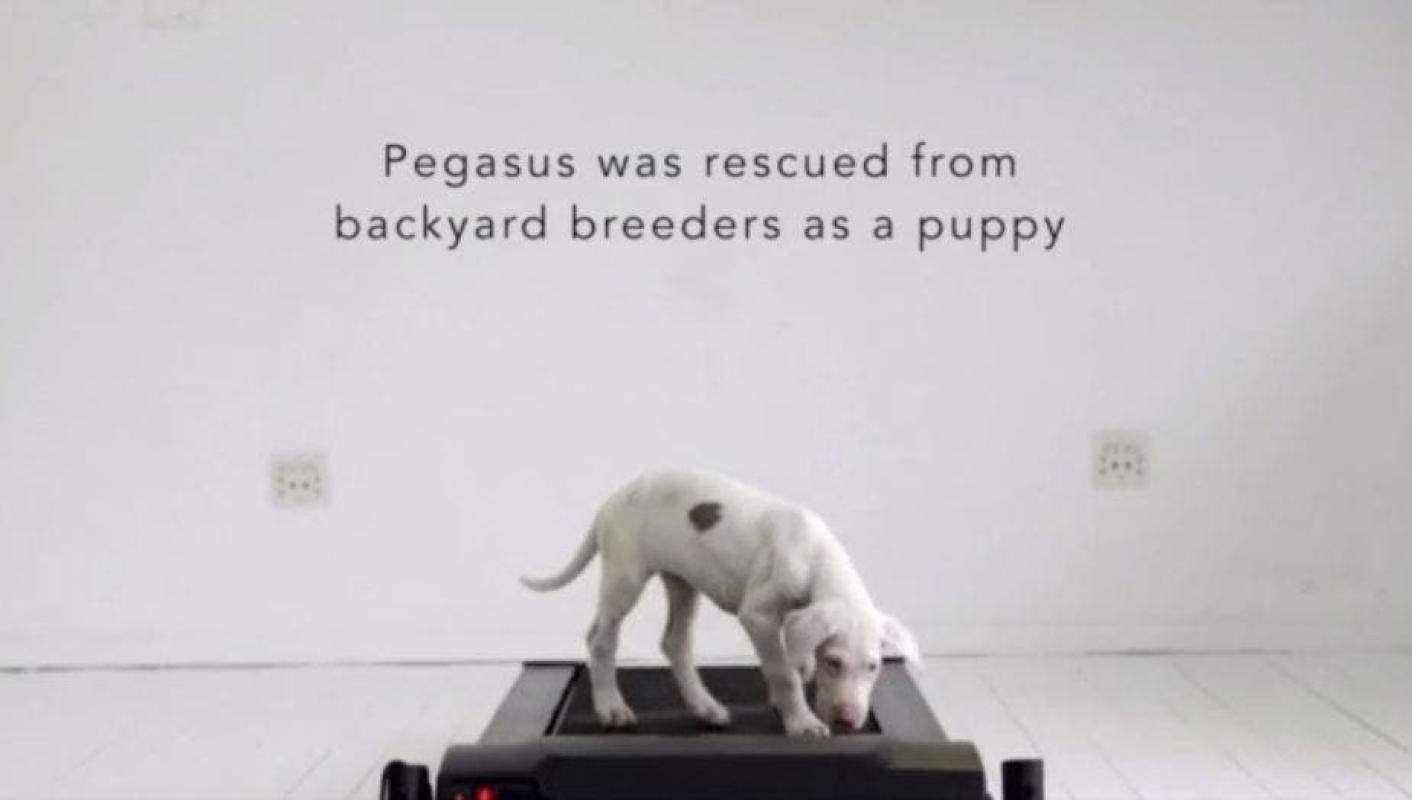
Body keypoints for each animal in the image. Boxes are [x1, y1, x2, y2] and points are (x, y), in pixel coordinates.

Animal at [520, 469, 920, 737]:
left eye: (873, 667)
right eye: (834, 663)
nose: (848, 720)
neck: (816, 554)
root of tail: (615, 497)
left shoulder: (795, 617)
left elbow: (792, 659)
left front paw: (791, 694)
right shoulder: (757, 615)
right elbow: (783, 670)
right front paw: (802, 720)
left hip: (682, 582)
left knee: (675, 642)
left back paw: (704, 708)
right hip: (624, 577)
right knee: (601, 639)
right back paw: (612, 708)